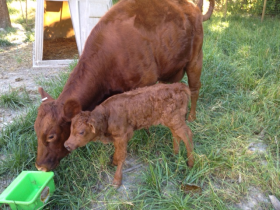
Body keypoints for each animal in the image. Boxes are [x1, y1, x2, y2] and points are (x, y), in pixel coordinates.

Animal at [34, 0, 214, 171]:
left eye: (51, 136)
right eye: (36, 130)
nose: (39, 166)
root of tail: (191, 7)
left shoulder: (144, 82)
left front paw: (146, 133)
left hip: (196, 58)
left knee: (195, 88)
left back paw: (191, 117)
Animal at [64, 83, 194, 186]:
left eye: (81, 132)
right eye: (70, 130)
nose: (66, 145)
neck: (107, 115)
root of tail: (178, 86)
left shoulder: (122, 135)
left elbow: (122, 155)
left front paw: (117, 180)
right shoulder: (117, 137)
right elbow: (117, 151)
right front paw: (114, 162)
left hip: (176, 120)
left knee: (187, 134)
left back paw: (190, 163)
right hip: (172, 121)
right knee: (176, 134)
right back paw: (175, 154)